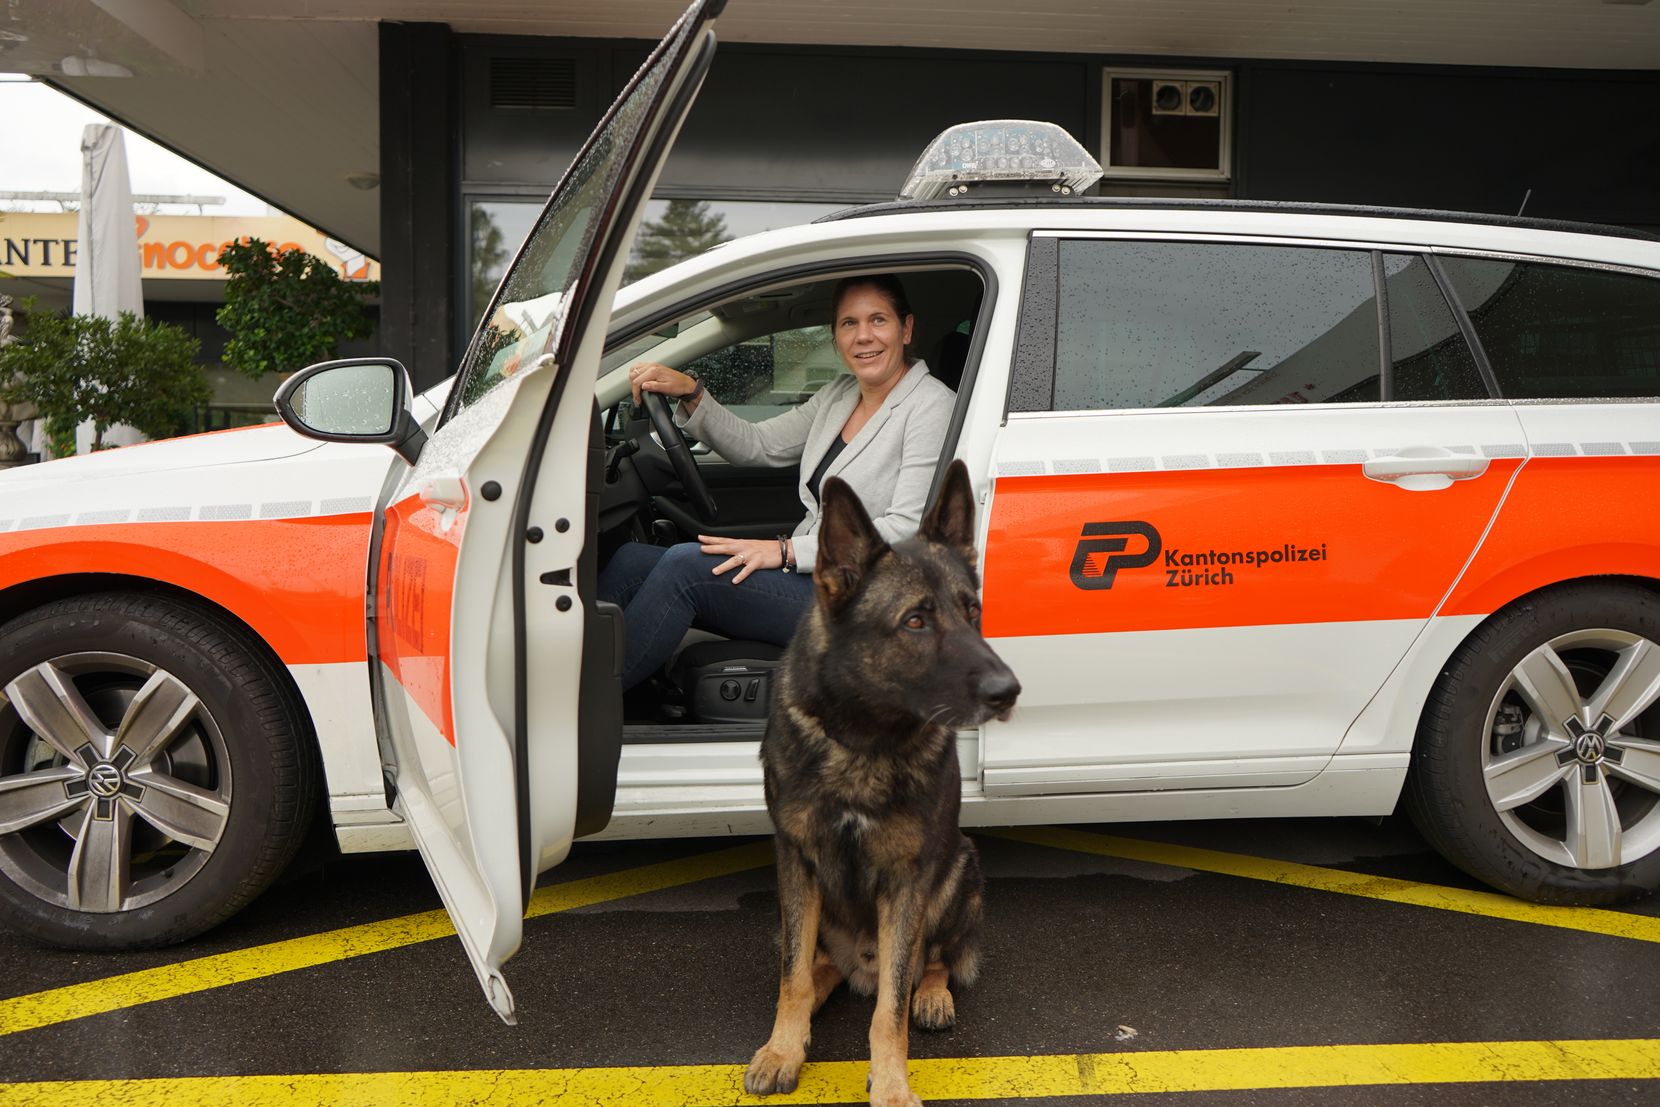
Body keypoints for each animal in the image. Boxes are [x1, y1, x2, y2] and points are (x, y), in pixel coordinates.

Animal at [747, 461, 1015, 1107]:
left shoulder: (906, 880)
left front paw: (891, 1085)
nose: (1010, 692)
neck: (865, 743)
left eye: (972, 612)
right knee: (813, 967)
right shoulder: (796, 860)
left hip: (958, 868)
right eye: (915, 621)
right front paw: (783, 1049)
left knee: (930, 960)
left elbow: (889, 1009)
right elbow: (792, 977)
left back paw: (933, 994)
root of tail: (859, 964)